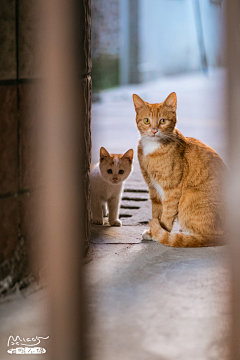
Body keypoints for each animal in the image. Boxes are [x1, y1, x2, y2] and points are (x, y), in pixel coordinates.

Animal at [132, 91, 226, 246]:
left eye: (162, 121)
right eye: (146, 121)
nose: (154, 130)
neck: (152, 149)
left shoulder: (172, 190)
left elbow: (166, 215)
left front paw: (159, 233)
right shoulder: (153, 188)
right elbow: (156, 212)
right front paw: (152, 232)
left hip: (188, 195)